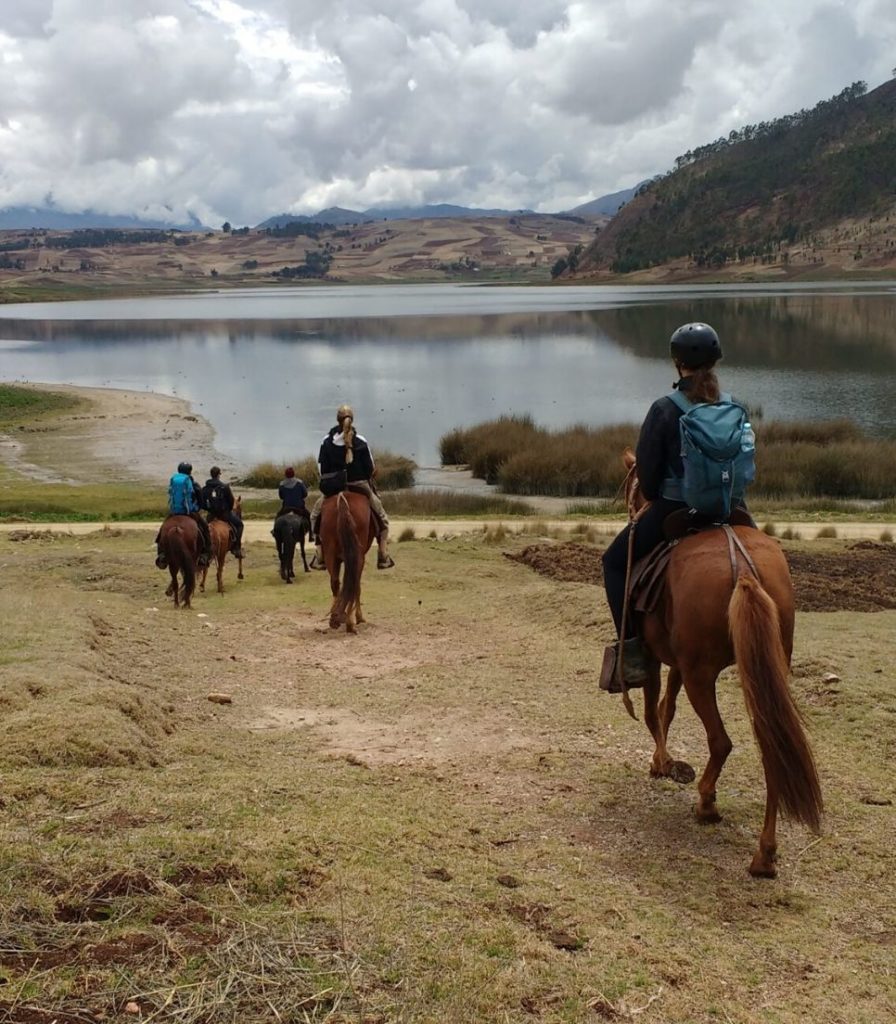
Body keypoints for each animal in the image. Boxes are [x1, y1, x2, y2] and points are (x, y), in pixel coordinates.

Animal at [321, 489, 376, 630]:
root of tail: (342, 498)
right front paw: (359, 618)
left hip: (330, 554)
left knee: (335, 582)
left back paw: (335, 618)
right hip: (358, 556)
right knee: (354, 583)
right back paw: (350, 622)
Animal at [618, 452, 823, 876]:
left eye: (630, 486)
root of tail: (742, 569)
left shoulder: (656, 658)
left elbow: (653, 710)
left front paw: (663, 764)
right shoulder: (679, 663)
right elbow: (667, 707)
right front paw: (662, 760)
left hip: (703, 677)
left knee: (721, 741)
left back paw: (707, 803)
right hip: (761, 675)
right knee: (771, 752)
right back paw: (764, 854)